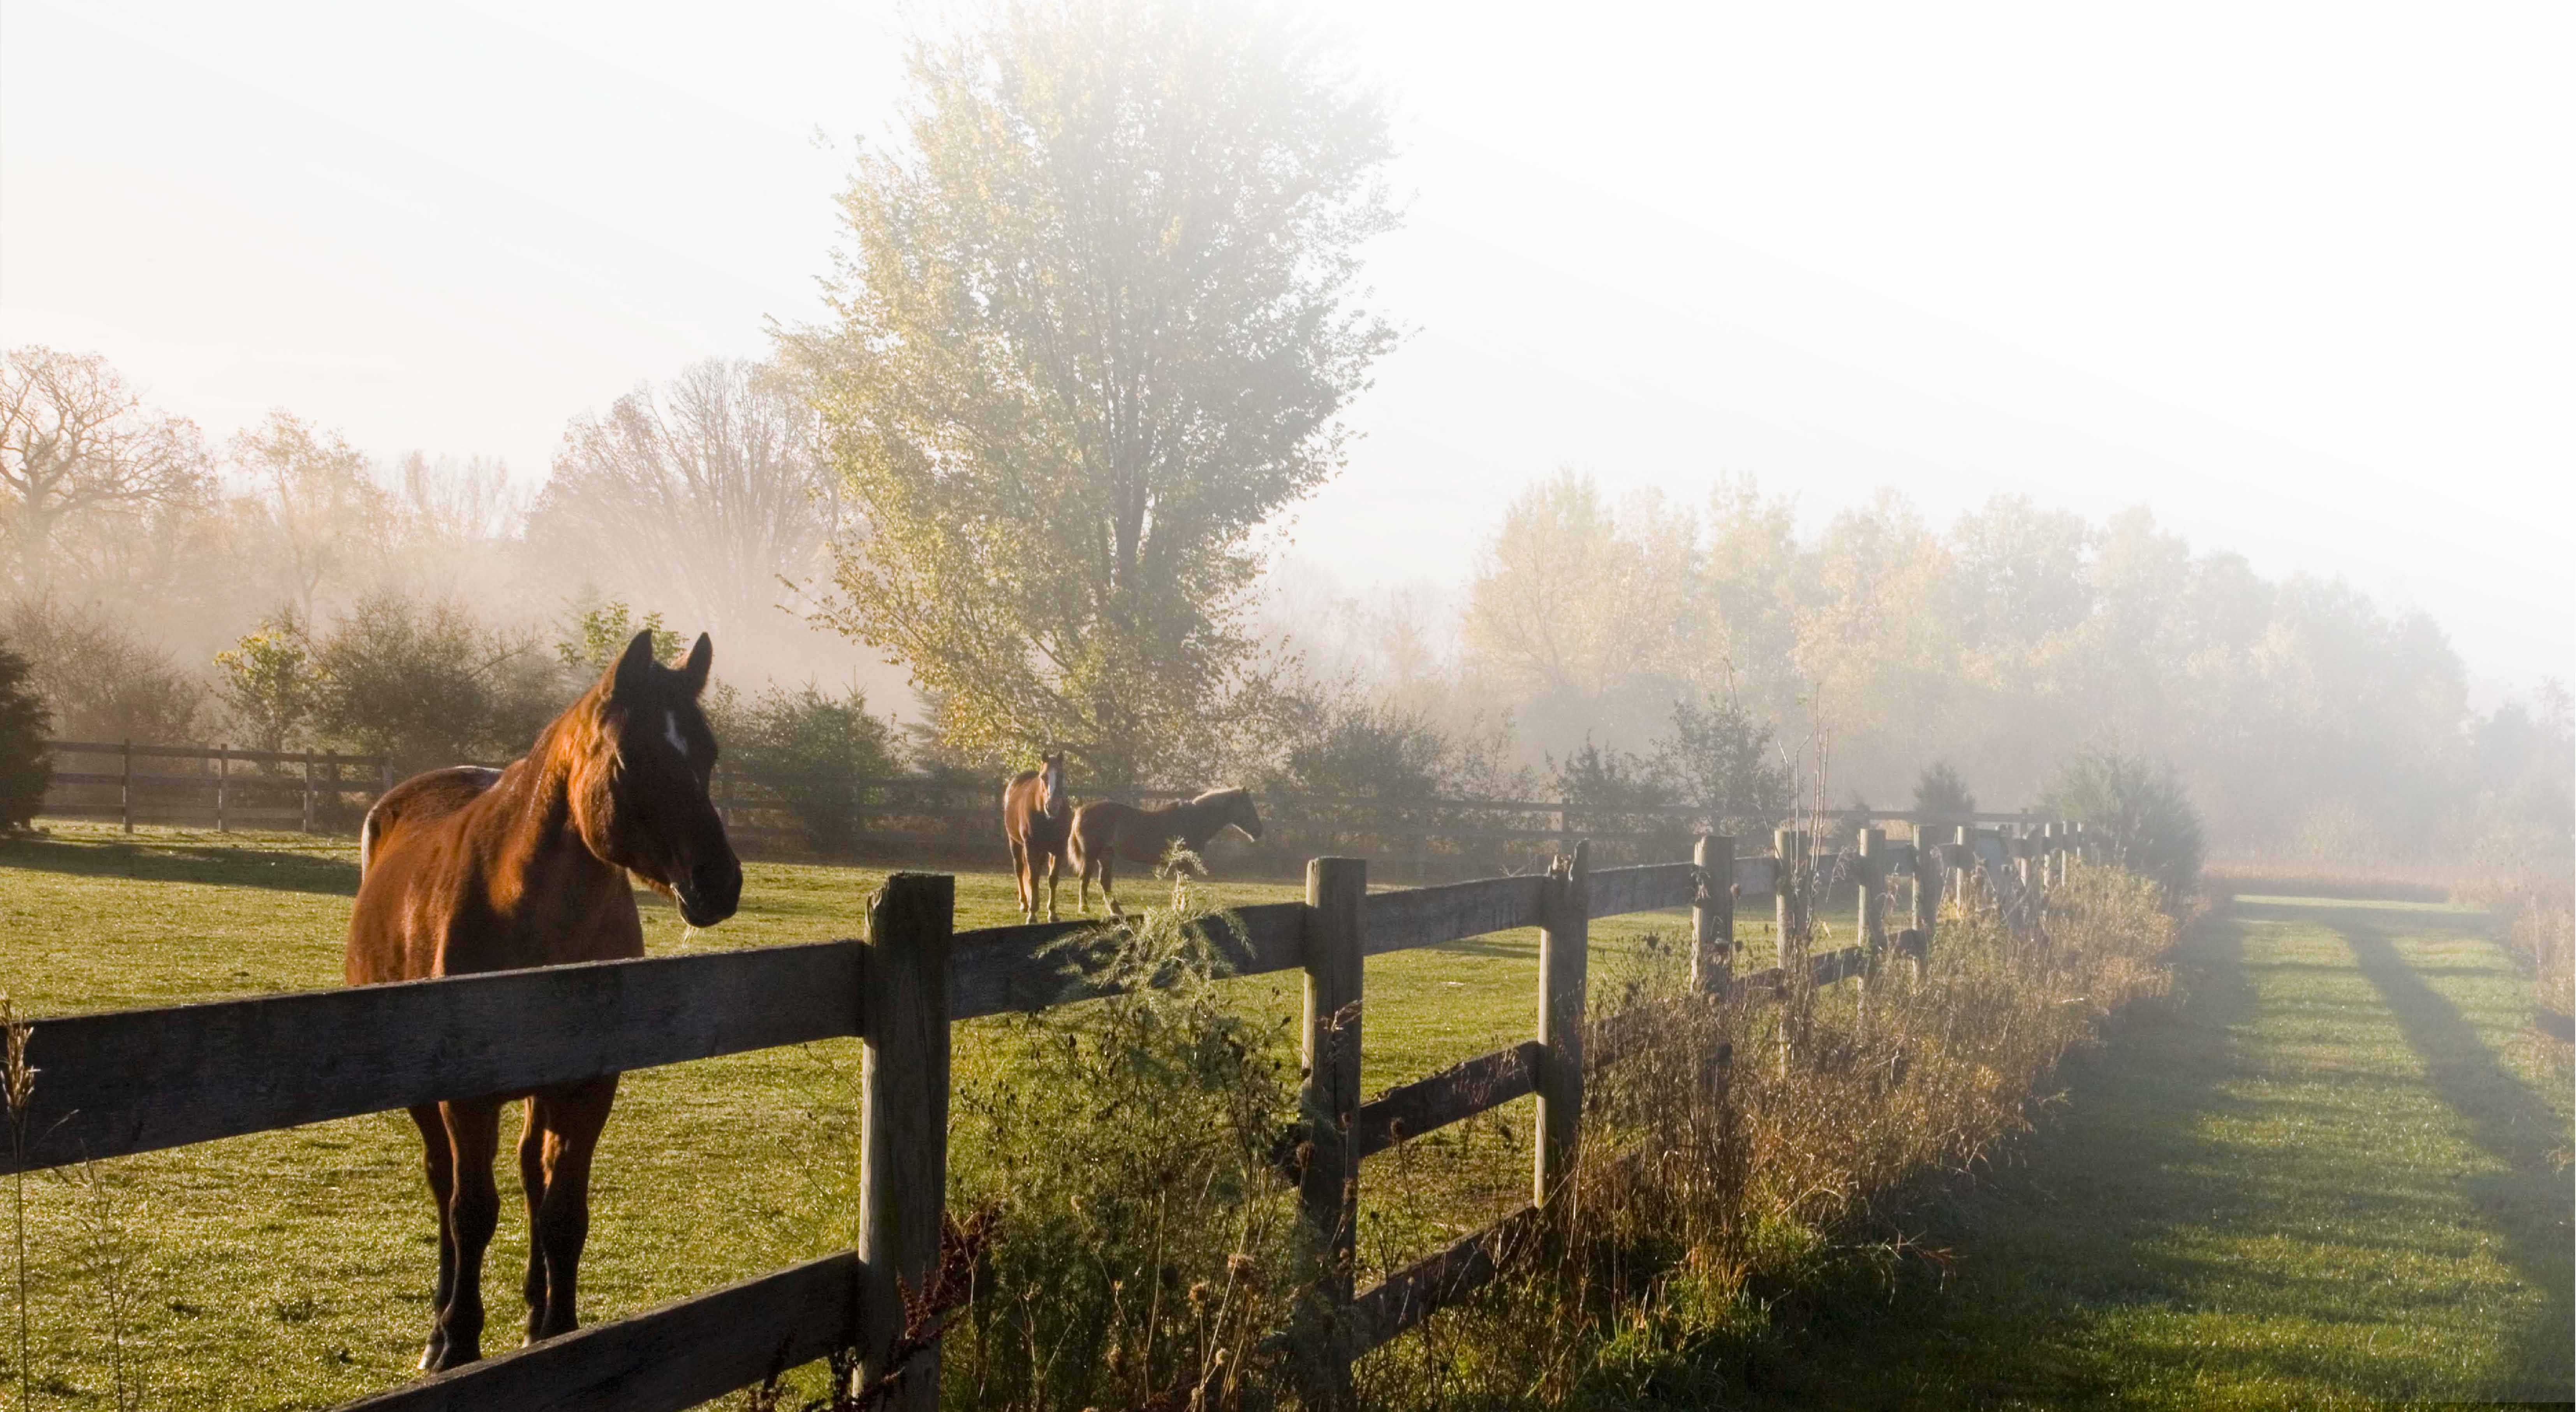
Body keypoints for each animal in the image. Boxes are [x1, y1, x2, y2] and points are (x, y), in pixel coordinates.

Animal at [345, 630, 740, 1372]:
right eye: (629, 758)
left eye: (706, 754)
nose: (718, 882)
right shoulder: (467, 1095)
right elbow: (471, 1210)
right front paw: (459, 1340)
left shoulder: (590, 1085)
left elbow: (563, 1210)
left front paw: (557, 1327)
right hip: (428, 1097)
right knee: (444, 1183)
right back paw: (438, 1328)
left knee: (533, 1174)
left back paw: (532, 1308)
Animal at [1002, 750, 1072, 922]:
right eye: (1043, 777)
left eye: (1061, 776)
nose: (1052, 807)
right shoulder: (1031, 847)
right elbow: (1033, 878)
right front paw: (1032, 914)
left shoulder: (1059, 849)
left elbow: (1052, 879)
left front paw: (1052, 913)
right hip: (1015, 843)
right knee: (1020, 869)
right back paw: (1025, 904)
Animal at [1066, 787, 1263, 915]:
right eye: (1248, 807)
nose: (1259, 831)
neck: (1195, 820)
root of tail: (1081, 810)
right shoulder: (1185, 863)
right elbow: (1184, 886)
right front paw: (1183, 908)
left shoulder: (1181, 864)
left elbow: (1180, 886)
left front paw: (1178, 908)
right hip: (1092, 855)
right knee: (1085, 880)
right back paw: (1084, 909)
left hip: (1106, 856)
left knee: (1105, 882)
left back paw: (1117, 911)